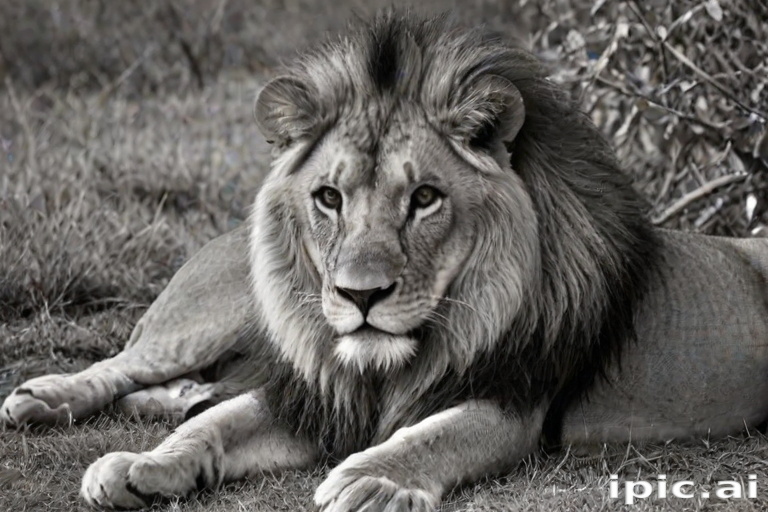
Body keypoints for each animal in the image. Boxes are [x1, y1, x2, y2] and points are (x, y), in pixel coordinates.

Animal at [3, 10, 768, 512]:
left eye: (425, 197)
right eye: (329, 197)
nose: (359, 296)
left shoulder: (510, 397)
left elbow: (431, 435)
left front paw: (371, 480)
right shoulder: (310, 391)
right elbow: (209, 428)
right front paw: (142, 465)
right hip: (215, 314)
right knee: (128, 364)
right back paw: (44, 397)